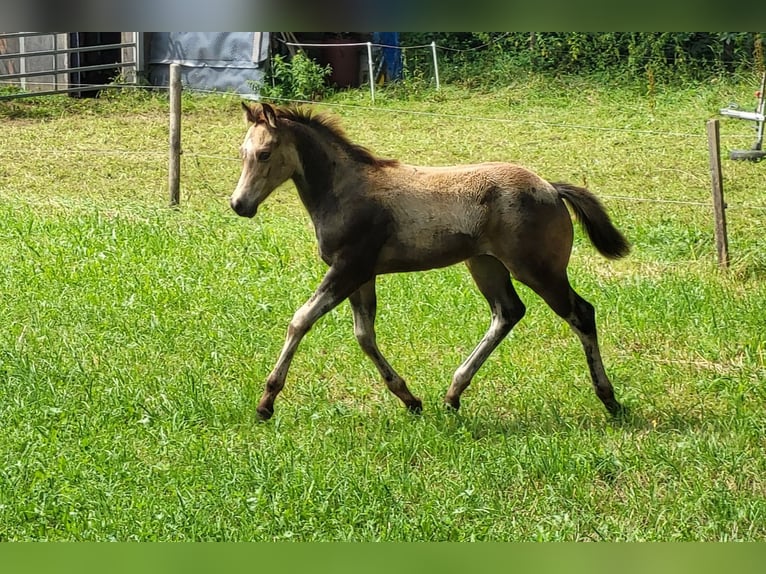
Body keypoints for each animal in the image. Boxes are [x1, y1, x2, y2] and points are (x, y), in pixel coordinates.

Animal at [231, 101, 632, 420]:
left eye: (264, 153)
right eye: (242, 152)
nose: (239, 205)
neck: (346, 190)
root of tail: (550, 188)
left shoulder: (347, 268)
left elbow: (301, 320)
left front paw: (266, 402)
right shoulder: (362, 275)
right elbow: (364, 335)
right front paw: (409, 399)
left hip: (539, 270)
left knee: (581, 314)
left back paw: (609, 399)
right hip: (485, 265)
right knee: (507, 312)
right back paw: (453, 395)